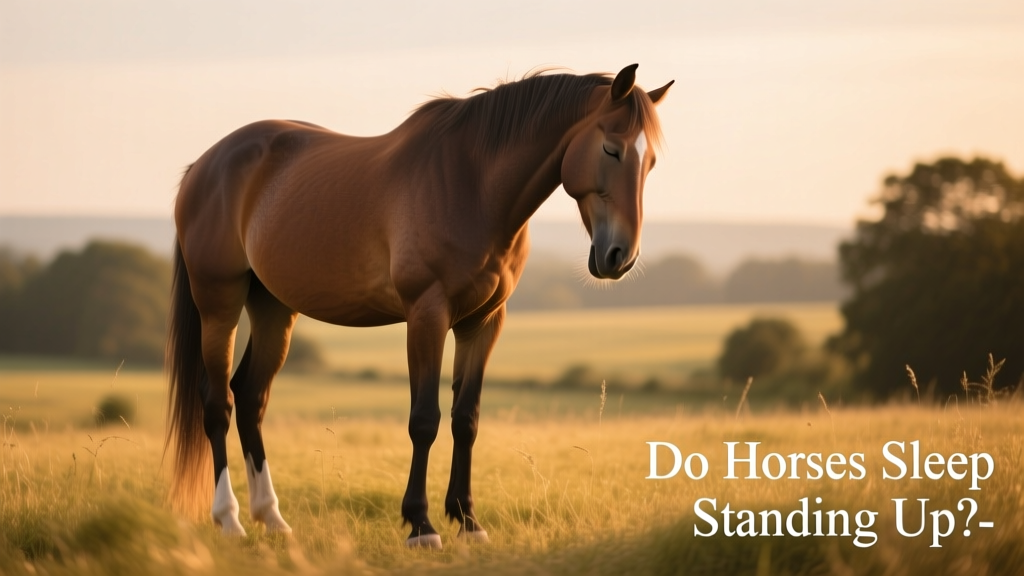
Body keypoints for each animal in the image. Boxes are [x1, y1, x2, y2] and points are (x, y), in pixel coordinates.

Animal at [166, 64, 672, 548]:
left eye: (650, 161)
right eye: (611, 149)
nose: (619, 257)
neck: (473, 186)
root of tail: (204, 166)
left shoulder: (483, 322)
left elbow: (466, 419)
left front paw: (468, 521)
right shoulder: (427, 315)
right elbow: (424, 420)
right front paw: (421, 525)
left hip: (273, 307)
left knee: (251, 397)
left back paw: (272, 519)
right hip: (219, 302)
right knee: (219, 403)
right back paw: (229, 520)